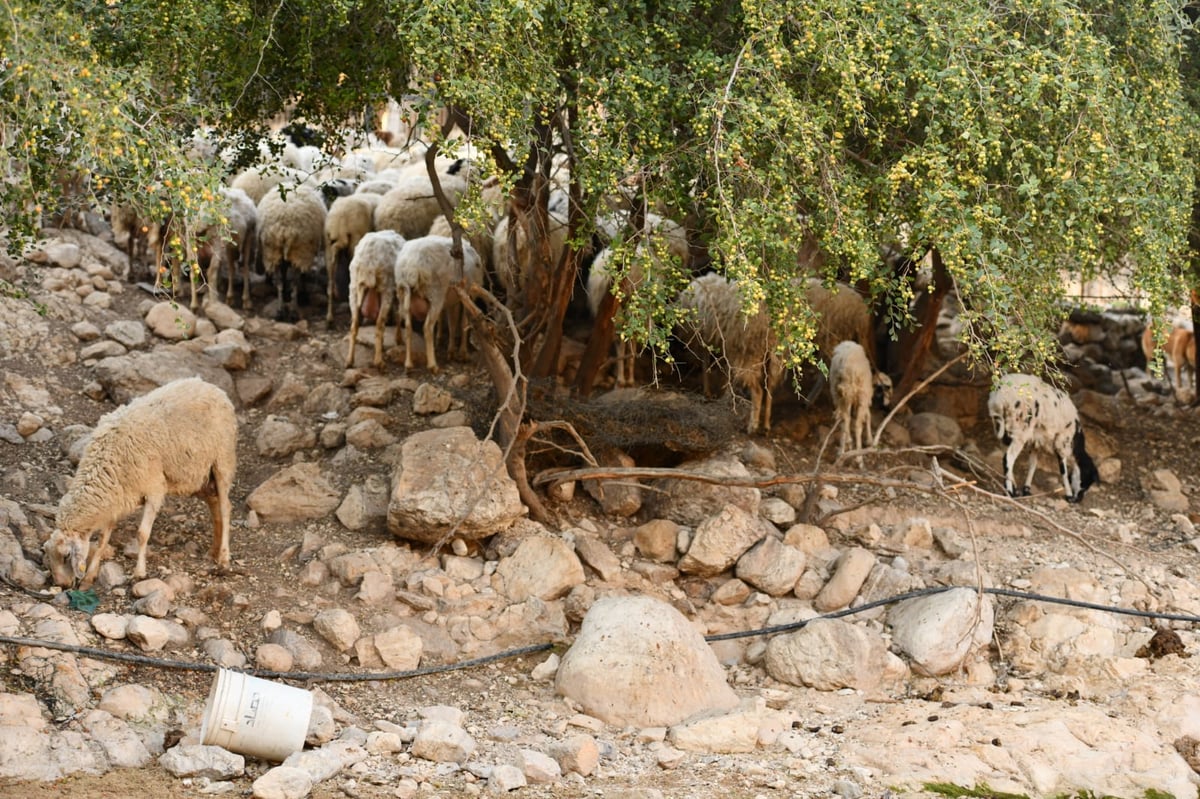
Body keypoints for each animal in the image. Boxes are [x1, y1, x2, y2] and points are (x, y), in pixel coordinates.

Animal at [41, 376, 236, 587]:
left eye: (67, 556)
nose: (60, 585)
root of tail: (209, 385)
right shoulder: (117, 496)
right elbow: (102, 539)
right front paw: (90, 576)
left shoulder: (155, 490)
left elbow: (142, 534)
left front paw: (139, 572)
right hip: (200, 477)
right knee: (215, 508)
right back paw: (213, 552)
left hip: (222, 462)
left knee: (225, 508)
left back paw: (224, 558)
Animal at [255, 184, 326, 321]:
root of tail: (285, 227)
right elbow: (302, 276)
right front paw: (303, 296)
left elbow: (283, 275)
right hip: (301, 251)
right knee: (295, 281)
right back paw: (293, 311)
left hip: (272, 251)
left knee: (279, 282)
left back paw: (280, 311)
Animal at [345, 229, 405, 369]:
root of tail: (369, 259)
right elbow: (398, 315)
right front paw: (399, 339)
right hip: (386, 288)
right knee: (379, 324)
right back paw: (378, 361)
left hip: (353, 289)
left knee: (354, 325)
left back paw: (349, 360)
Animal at [396, 233, 484, 374]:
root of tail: (411, 265)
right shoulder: (467, 296)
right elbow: (463, 324)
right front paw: (463, 353)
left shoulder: (453, 299)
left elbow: (452, 324)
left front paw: (451, 351)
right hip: (435, 294)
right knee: (427, 327)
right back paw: (433, 365)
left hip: (404, 294)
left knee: (409, 327)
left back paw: (408, 364)